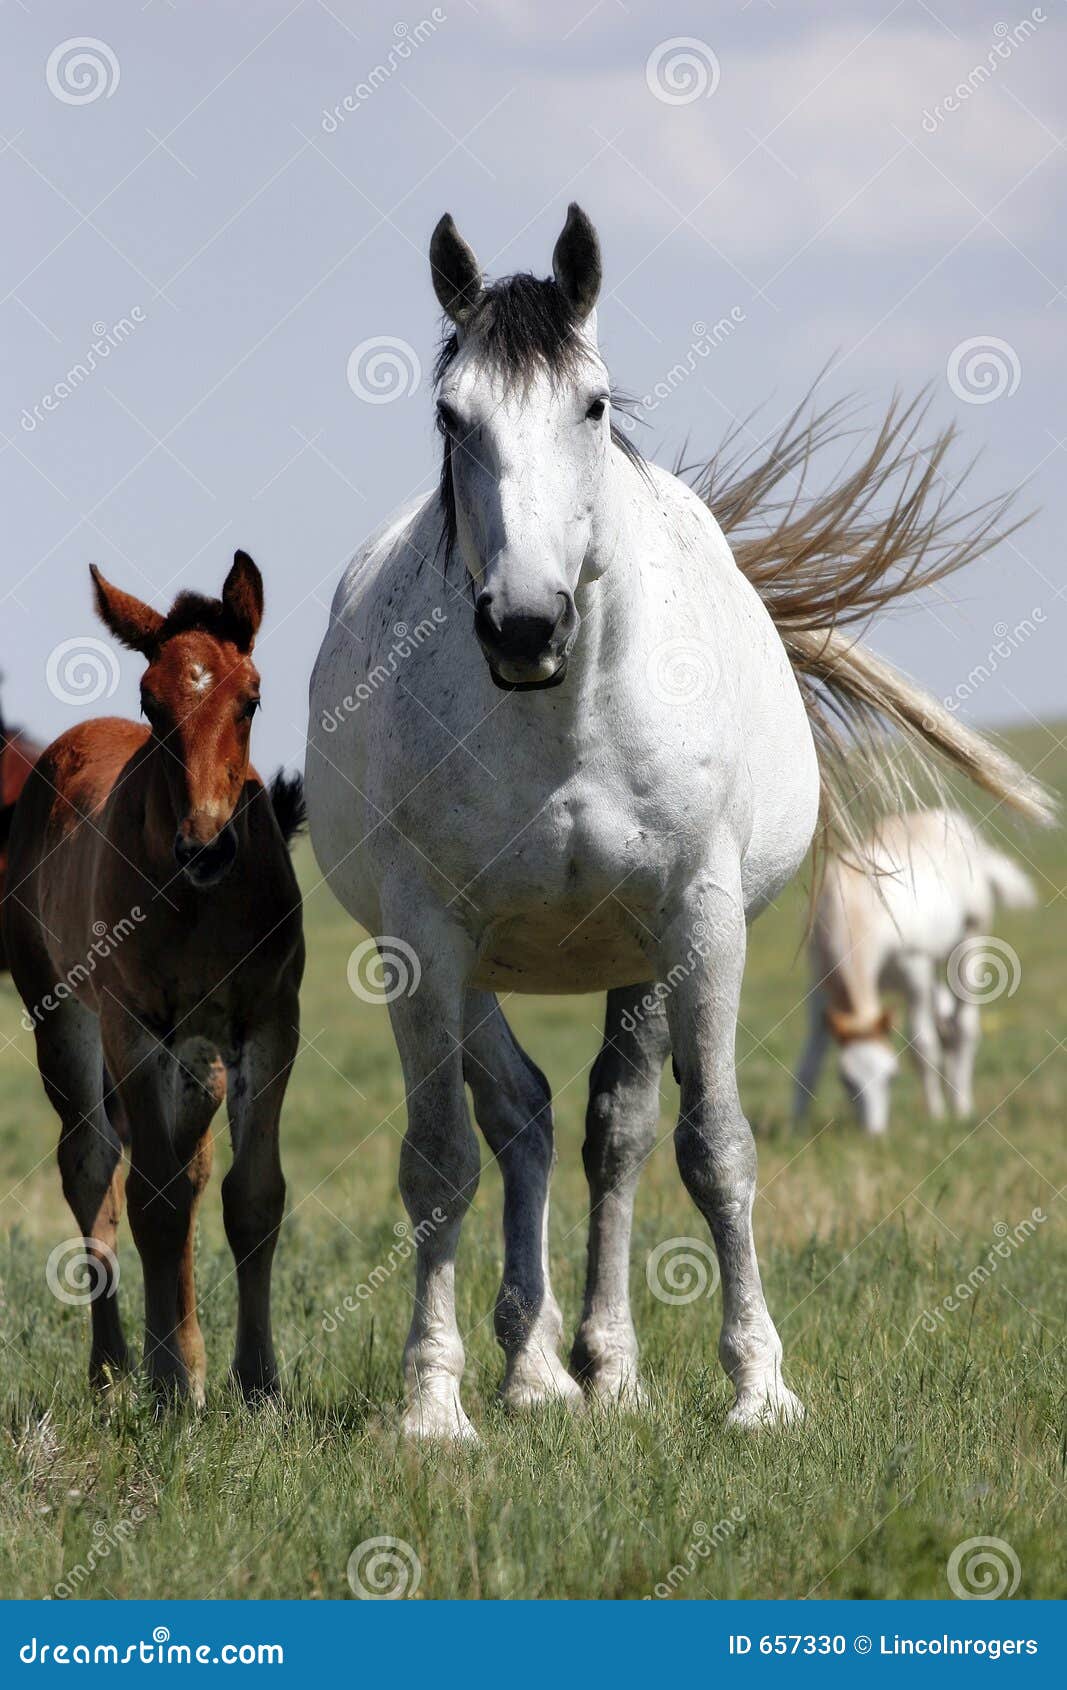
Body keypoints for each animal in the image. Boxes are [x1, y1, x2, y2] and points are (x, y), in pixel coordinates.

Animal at [3, 554, 304, 1399]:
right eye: (150, 702)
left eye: (252, 696)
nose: (205, 845)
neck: (202, 901)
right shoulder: (133, 1027)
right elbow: (154, 1201)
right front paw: (170, 1386)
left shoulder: (270, 1024)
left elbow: (251, 1196)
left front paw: (256, 1383)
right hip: (65, 1020)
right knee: (94, 1170)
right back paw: (114, 1370)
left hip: (199, 1058)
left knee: (187, 1171)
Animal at [798, 807, 1041, 1135]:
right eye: (846, 1079)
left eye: (891, 1076)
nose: (873, 1134)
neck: (857, 907)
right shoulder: (821, 982)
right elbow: (811, 1054)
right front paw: (794, 1127)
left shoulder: (916, 972)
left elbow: (922, 1046)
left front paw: (935, 1114)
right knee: (944, 1019)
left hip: (969, 941)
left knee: (962, 1026)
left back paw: (961, 1107)